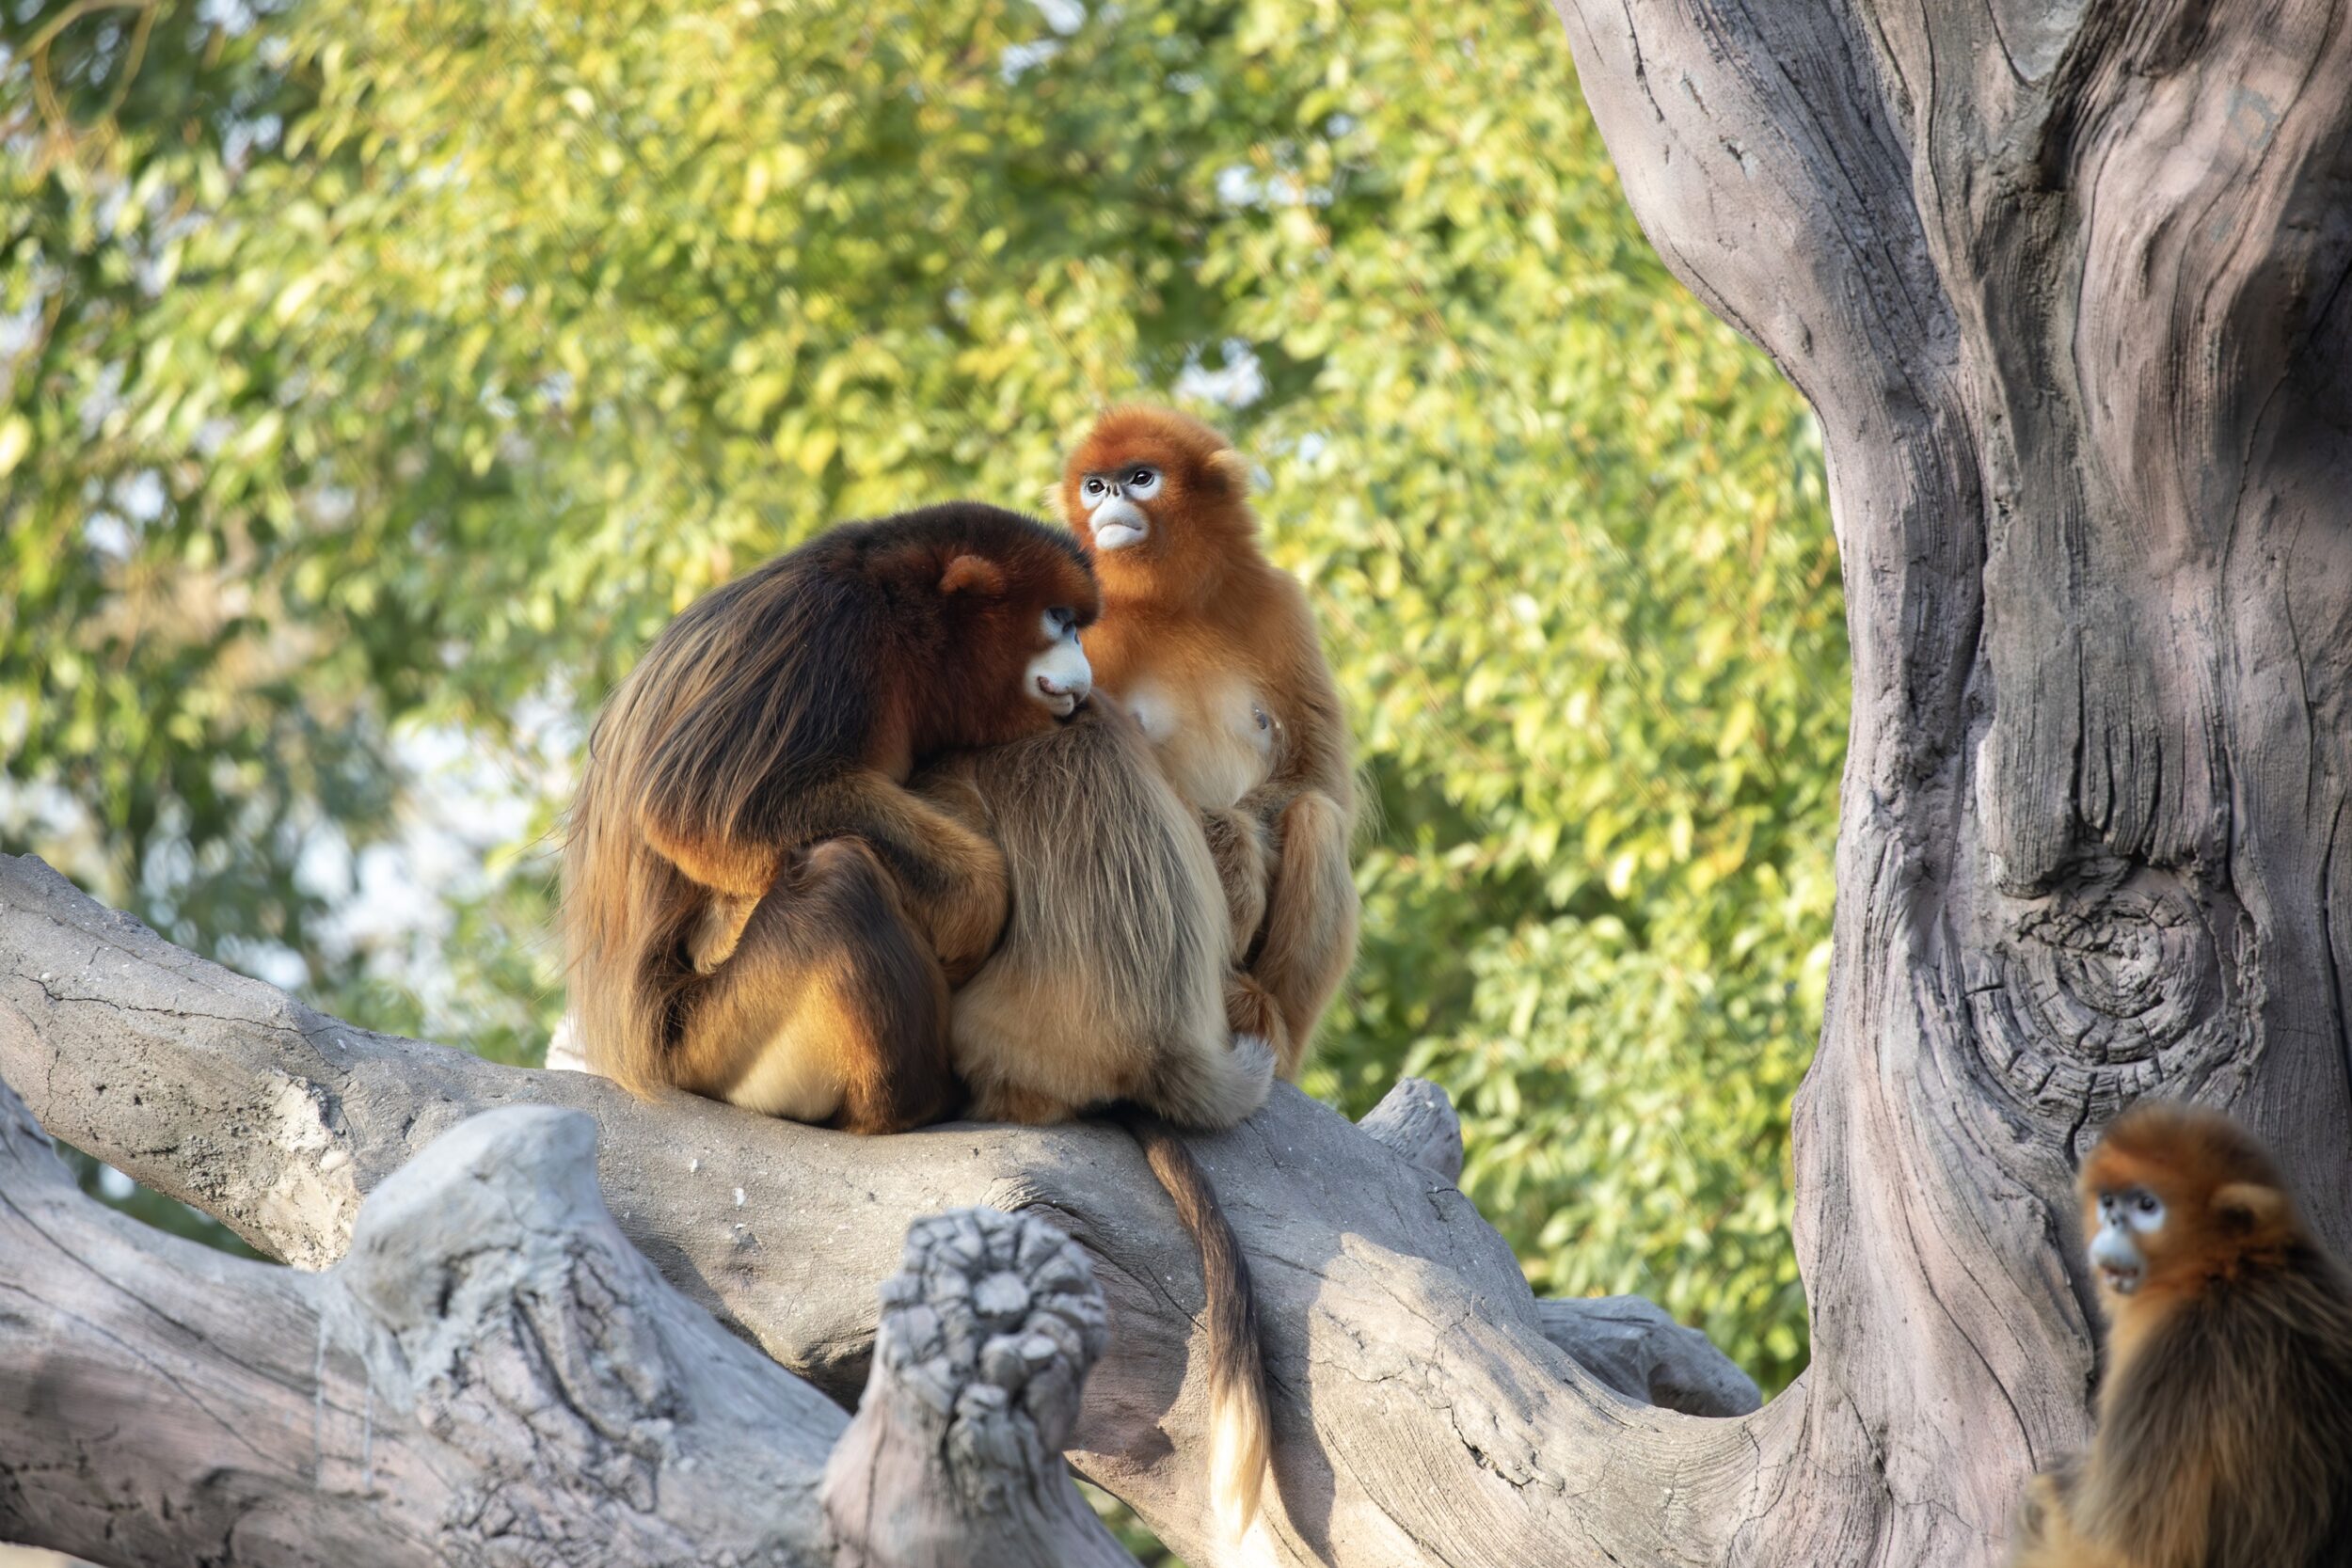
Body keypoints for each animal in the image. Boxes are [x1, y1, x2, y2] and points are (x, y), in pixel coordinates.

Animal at [562, 510, 1101, 1132]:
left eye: (1076, 625)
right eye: (1060, 620)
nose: (1083, 659)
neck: (896, 614)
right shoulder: (827, 625)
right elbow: (696, 809)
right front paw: (976, 904)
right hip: (713, 1046)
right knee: (838, 884)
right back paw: (908, 1105)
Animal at [2004, 1104, 2352, 1568]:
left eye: (2147, 1206)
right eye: (2108, 1201)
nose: (2111, 1220)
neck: (2227, 1273)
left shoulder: (2175, 1358)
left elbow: (2121, 1552)